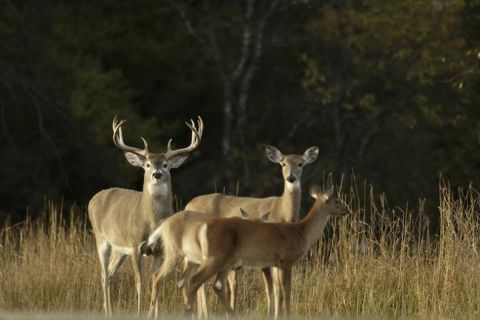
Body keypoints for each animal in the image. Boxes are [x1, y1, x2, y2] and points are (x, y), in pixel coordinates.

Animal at [88, 115, 202, 316]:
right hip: (101, 239)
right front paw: (140, 312)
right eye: (147, 165)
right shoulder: (135, 245)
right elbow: (139, 283)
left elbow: (155, 282)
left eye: (165, 164)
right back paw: (108, 312)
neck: (152, 221)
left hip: (120, 249)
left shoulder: (159, 250)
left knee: (110, 273)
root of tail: (93, 198)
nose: (157, 174)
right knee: (104, 275)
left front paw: (153, 314)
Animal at [152, 185, 350, 318]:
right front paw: (288, 314)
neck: (301, 232)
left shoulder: (275, 263)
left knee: (210, 284)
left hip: (223, 261)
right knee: (193, 281)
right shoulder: (286, 260)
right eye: (337, 201)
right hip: (215, 258)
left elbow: (277, 290)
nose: (347, 209)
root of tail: (203, 226)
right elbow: (286, 290)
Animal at [186, 146, 316, 316]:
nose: (291, 178)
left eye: (300, 164)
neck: (283, 212)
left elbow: (275, 289)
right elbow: (275, 289)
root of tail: (187, 205)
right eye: (283, 164)